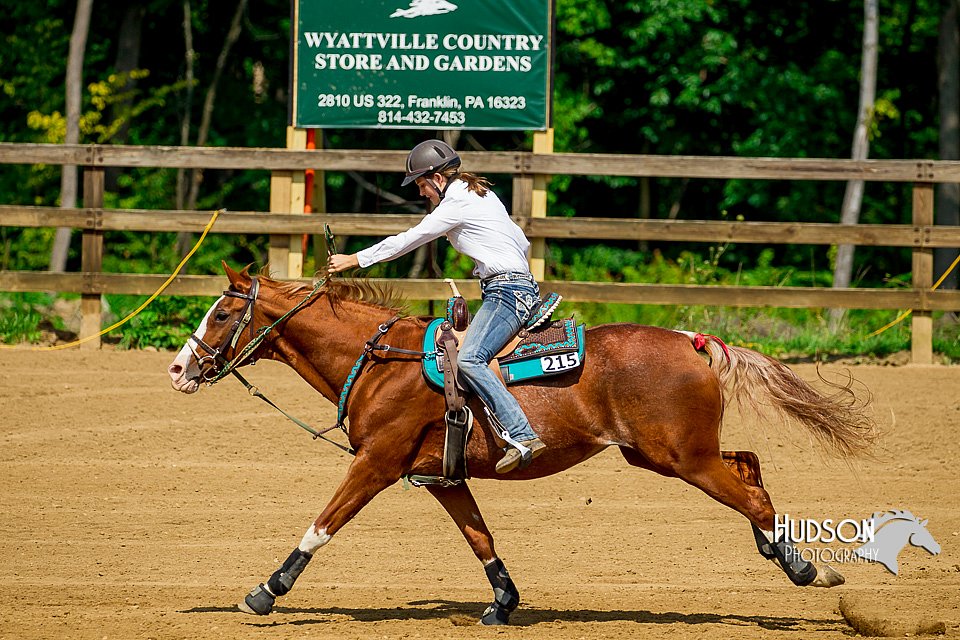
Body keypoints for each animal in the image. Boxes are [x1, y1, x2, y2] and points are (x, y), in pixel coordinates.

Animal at [167, 266, 876, 624]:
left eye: (223, 314)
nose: (177, 369)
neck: (382, 363)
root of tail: (692, 340)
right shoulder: (443, 477)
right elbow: (479, 536)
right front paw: (502, 602)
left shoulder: (376, 464)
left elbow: (321, 525)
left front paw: (265, 591)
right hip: (665, 455)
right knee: (750, 467)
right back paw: (782, 553)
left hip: (683, 458)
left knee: (750, 494)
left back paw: (807, 568)